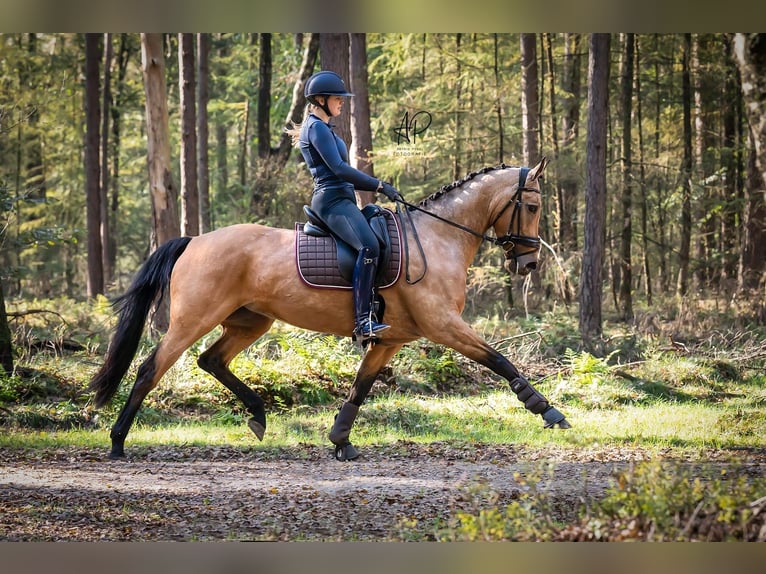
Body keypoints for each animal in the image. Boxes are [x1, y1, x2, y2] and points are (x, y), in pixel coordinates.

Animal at [90, 159, 568, 464]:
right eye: (531, 206)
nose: (528, 263)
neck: (437, 239)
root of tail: (195, 240)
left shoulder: (390, 339)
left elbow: (360, 388)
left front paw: (341, 440)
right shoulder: (444, 326)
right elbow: (499, 360)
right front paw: (547, 411)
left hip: (250, 321)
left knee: (211, 361)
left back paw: (258, 415)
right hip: (193, 320)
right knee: (151, 369)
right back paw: (117, 441)